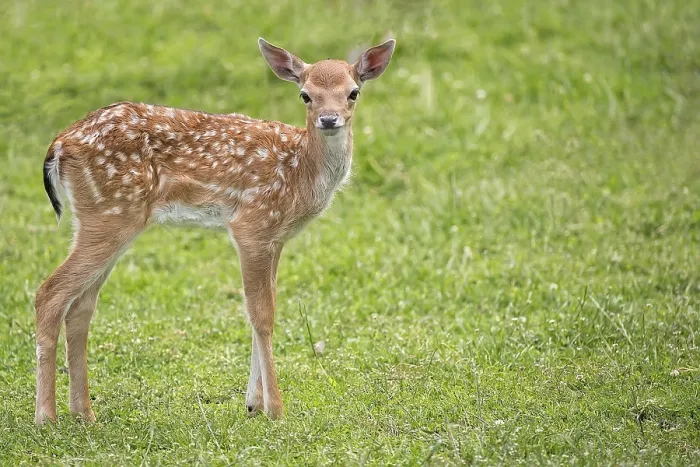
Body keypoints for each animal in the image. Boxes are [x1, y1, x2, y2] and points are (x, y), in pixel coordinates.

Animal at [34, 37, 395, 424]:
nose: (329, 119)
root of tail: (59, 144)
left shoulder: (275, 238)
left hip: (104, 219)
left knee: (80, 306)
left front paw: (253, 403)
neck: (299, 172)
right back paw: (46, 417)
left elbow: (263, 308)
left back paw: (83, 413)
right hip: (110, 215)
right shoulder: (251, 224)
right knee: (49, 294)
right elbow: (262, 315)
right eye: (305, 95)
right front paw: (275, 409)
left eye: (353, 92)